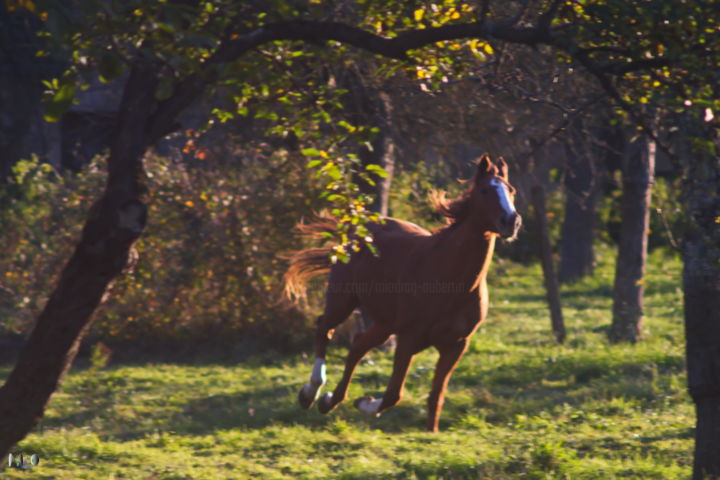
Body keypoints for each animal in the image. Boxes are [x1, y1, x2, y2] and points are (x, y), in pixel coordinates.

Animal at [282, 154, 524, 432]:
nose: (512, 221)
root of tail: (356, 229)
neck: (451, 280)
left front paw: (429, 431)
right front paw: (366, 404)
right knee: (324, 329)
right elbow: (393, 394)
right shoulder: (409, 338)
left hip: (384, 323)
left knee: (357, 347)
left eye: (511, 190)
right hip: (343, 301)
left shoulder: (455, 345)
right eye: (485, 190)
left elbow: (435, 397)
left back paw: (329, 401)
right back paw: (310, 393)